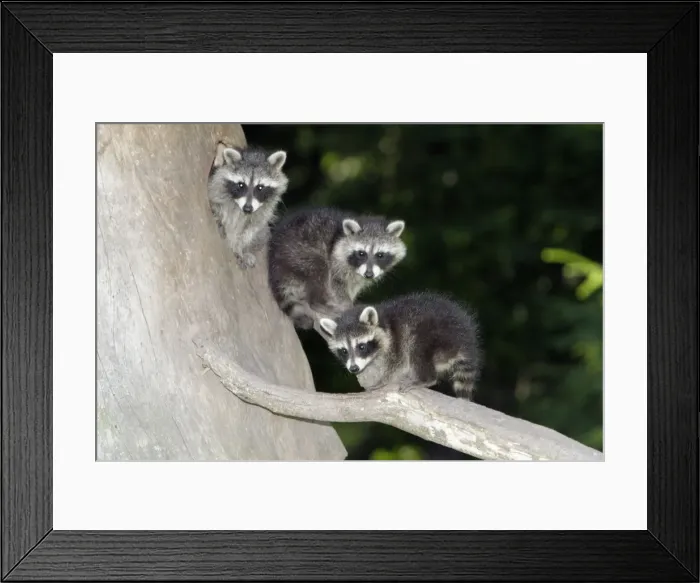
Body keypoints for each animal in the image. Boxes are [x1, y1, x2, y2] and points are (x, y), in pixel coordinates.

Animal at [267, 206, 407, 330]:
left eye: (380, 255)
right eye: (362, 253)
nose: (369, 275)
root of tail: (275, 264)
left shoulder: (358, 277)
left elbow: (353, 287)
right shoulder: (335, 260)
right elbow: (336, 284)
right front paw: (347, 306)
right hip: (299, 254)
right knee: (319, 269)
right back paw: (319, 303)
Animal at [318, 292, 481, 400]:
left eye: (361, 347)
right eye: (344, 351)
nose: (353, 368)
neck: (383, 322)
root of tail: (465, 342)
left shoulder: (398, 340)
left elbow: (397, 364)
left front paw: (382, 381)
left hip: (436, 335)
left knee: (417, 348)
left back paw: (425, 378)